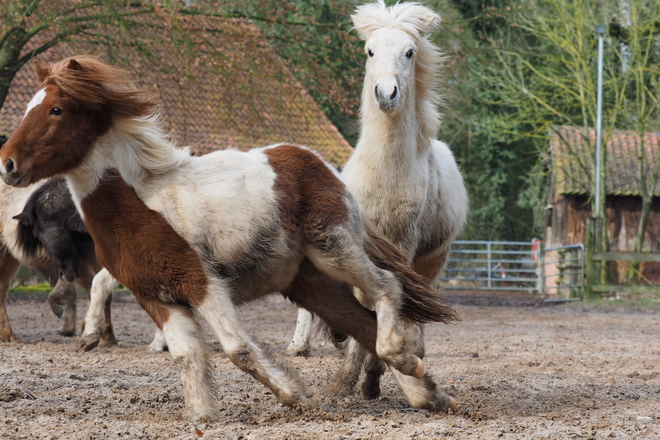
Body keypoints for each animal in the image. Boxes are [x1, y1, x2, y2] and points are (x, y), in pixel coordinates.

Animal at [0, 56, 458, 422]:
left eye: (56, 109)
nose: (8, 164)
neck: (142, 203)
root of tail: (323, 166)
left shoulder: (201, 282)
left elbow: (238, 349)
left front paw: (298, 396)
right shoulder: (156, 297)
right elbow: (186, 355)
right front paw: (202, 413)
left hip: (334, 248)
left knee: (387, 288)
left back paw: (406, 363)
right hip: (308, 282)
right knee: (362, 324)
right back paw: (428, 393)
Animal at [288, 0, 470, 412]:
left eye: (410, 52)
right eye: (370, 51)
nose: (386, 93)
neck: (386, 175)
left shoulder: (402, 248)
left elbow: (388, 308)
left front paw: (373, 375)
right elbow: (360, 305)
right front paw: (347, 376)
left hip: (432, 261)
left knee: (416, 312)